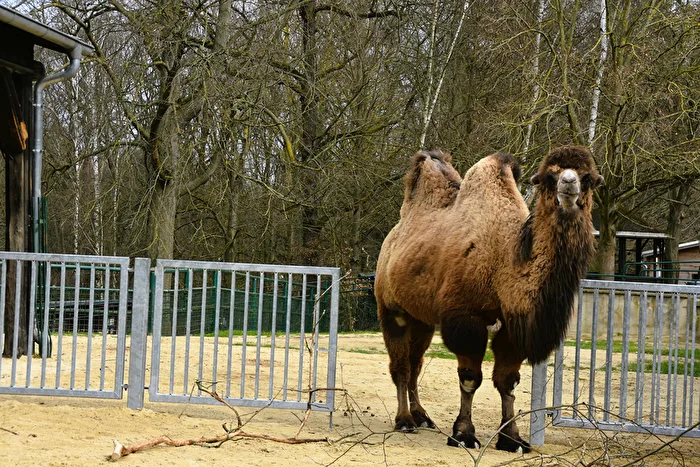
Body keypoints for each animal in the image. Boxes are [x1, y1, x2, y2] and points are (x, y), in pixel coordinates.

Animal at [375, 146, 603, 452]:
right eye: (549, 177)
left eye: (588, 178)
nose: (569, 184)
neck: (504, 261)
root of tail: (392, 238)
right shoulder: (465, 318)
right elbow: (471, 378)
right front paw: (463, 434)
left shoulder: (512, 325)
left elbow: (508, 381)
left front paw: (512, 439)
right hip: (391, 308)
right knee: (400, 365)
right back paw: (404, 421)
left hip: (422, 319)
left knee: (415, 362)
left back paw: (422, 416)